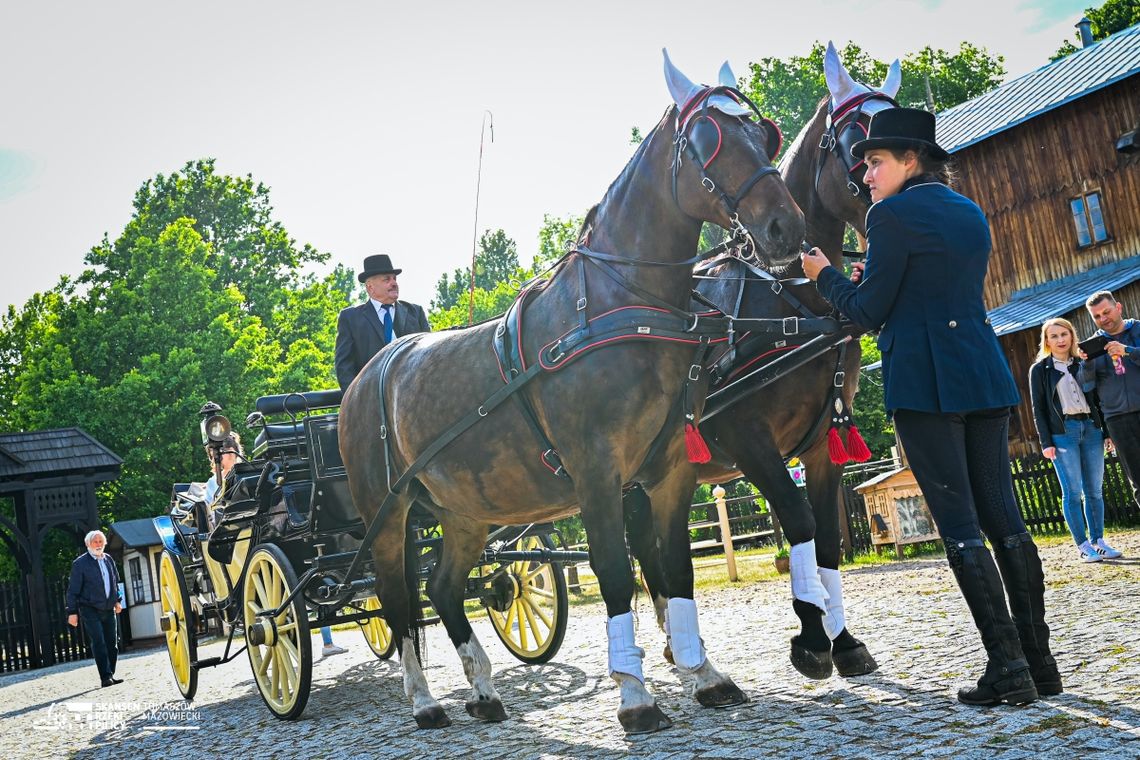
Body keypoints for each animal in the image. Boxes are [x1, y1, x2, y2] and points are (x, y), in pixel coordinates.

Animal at [335, 48, 802, 738]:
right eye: (708, 140)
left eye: (762, 132)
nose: (785, 226)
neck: (621, 307)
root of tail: (367, 377)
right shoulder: (596, 472)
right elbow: (614, 571)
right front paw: (635, 696)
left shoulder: (669, 472)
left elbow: (676, 570)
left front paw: (703, 674)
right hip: (386, 514)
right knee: (397, 597)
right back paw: (423, 700)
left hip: (467, 511)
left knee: (442, 589)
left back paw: (483, 690)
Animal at [633, 40, 898, 683]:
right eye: (860, 143)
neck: (789, 303)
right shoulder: (747, 437)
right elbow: (798, 521)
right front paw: (811, 639)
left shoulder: (823, 440)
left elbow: (826, 538)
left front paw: (843, 639)